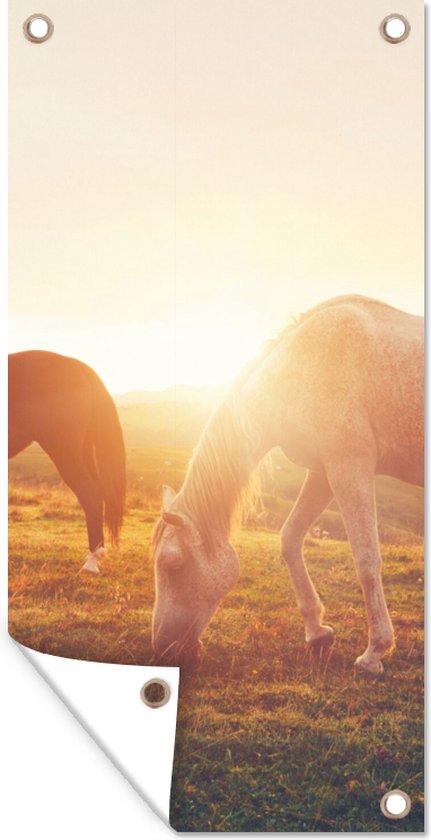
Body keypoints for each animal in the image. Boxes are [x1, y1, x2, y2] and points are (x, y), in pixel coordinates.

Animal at [151, 295, 424, 675]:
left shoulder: (349, 466)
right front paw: (317, 632)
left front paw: (375, 652)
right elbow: (290, 539)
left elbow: (367, 559)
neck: (302, 369)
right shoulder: (323, 472)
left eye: (174, 565)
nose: (161, 649)